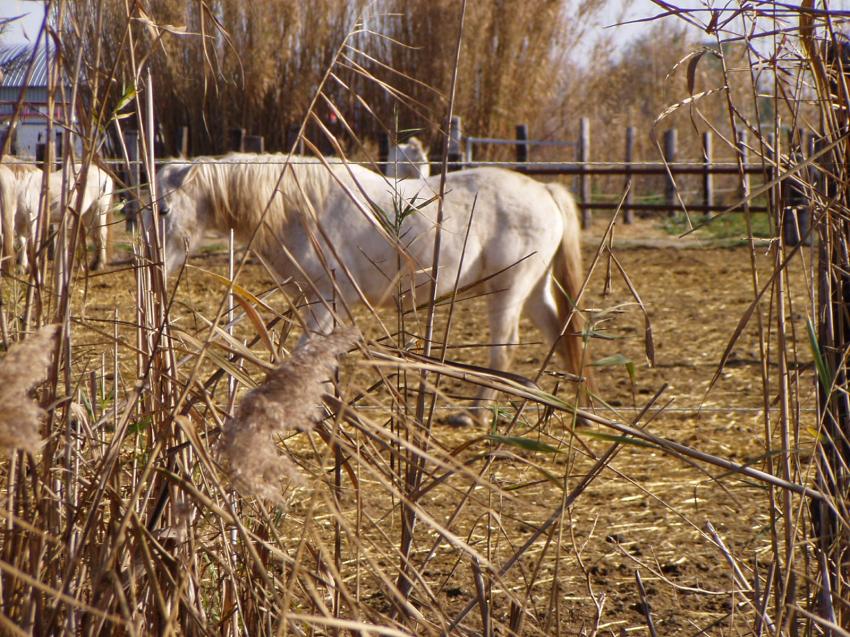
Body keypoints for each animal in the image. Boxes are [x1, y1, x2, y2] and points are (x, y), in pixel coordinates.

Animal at [150, 153, 586, 421]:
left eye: (164, 209)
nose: (158, 271)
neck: (301, 207)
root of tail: (544, 191)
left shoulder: (326, 301)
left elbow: (305, 356)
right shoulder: (320, 304)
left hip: (507, 290)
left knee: (505, 347)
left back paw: (477, 412)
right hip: (532, 289)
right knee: (558, 331)